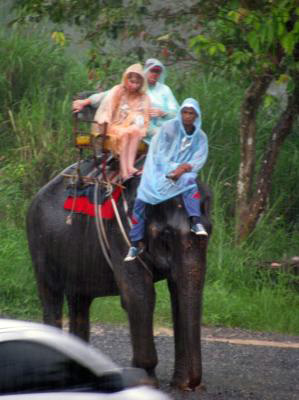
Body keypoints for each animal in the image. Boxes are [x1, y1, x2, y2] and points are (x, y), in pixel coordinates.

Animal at [26, 159, 213, 390]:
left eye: (209, 232)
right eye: (167, 236)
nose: (192, 385)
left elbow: (178, 294)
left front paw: (179, 385)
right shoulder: (122, 233)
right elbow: (140, 295)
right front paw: (147, 382)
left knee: (79, 301)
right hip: (39, 245)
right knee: (50, 296)